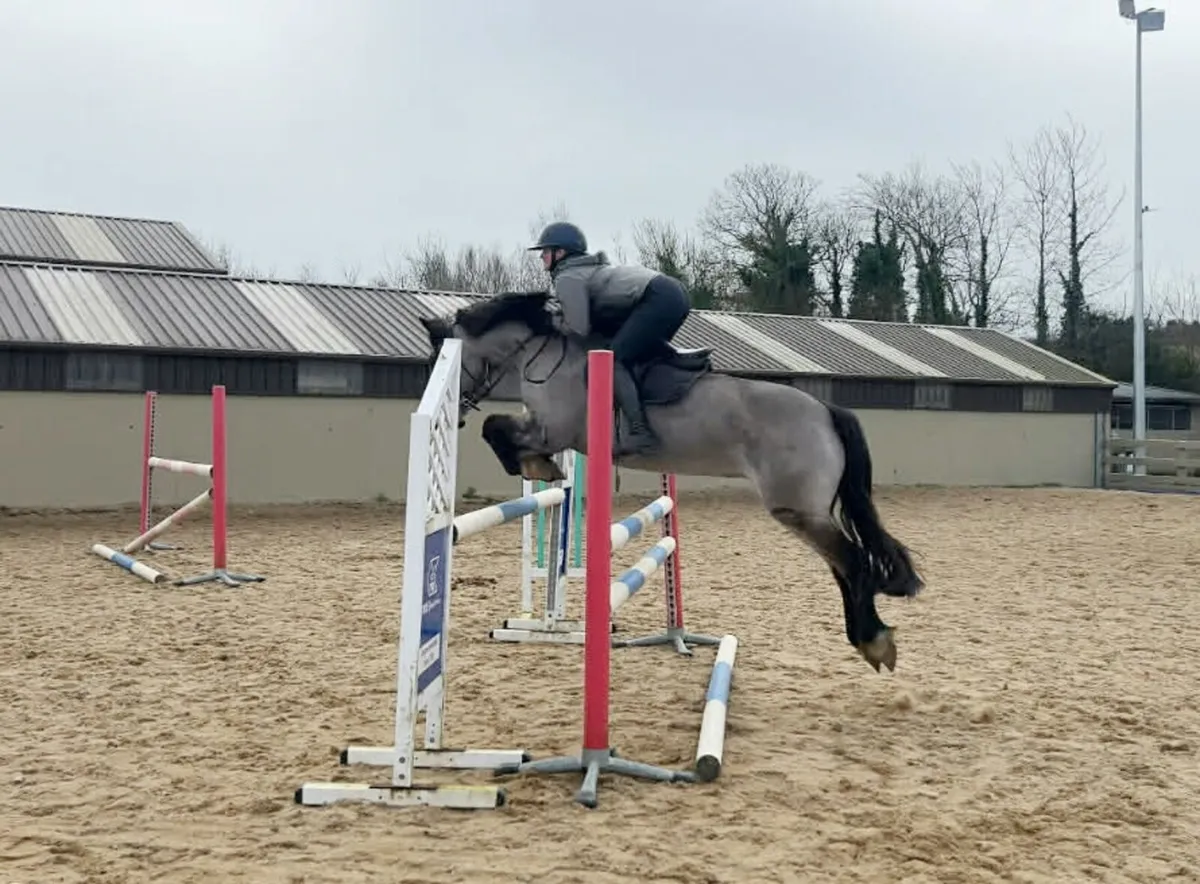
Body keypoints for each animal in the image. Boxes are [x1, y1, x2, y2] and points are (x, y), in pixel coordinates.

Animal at [419, 290, 924, 672]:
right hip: (805, 512)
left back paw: (874, 641)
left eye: (442, 360)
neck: (543, 355)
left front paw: (538, 467)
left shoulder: (555, 430)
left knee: (853, 563)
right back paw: (869, 638)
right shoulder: (547, 429)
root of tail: (825, 410)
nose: (454, 415)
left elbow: (496, 429)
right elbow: (501, 430)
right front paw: (538, 467)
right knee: (844, 565)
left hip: (797, 509)